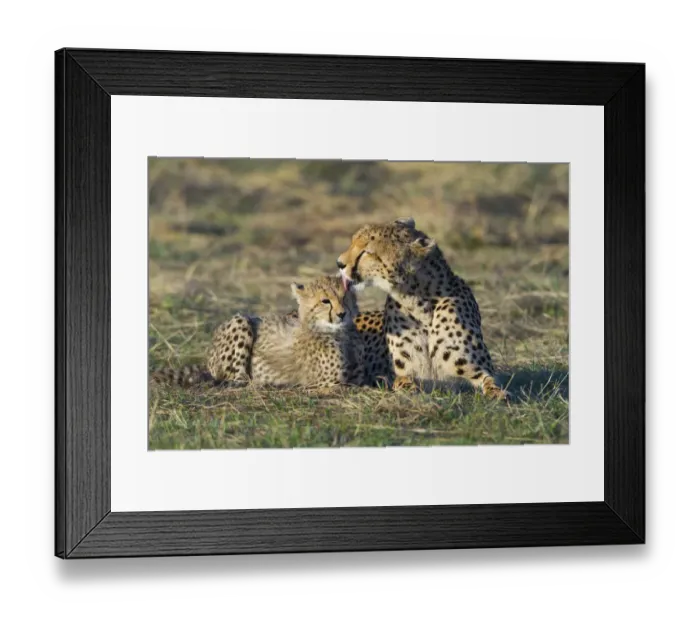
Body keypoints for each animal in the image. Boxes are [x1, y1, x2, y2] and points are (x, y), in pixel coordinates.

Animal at [150, 275, 365, 389]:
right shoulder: (328, 382)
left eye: (345, 298)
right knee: (234, 379)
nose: (342, 314)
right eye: (325, 301)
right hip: (241, 321)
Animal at [336, 217, 508, 400]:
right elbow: (404, 382)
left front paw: (497, 393)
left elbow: (490, 381)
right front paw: (410, 390)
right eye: (352, 242)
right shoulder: (406, 373)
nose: (339, 263)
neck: (420, 303)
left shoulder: (475, 369)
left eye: (367, 252)